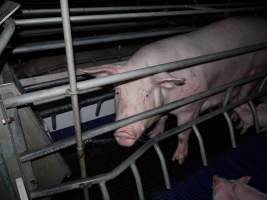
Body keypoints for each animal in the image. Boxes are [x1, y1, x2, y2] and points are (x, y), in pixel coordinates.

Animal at [81, 16, 267, 163]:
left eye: (146, 94)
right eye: (118, 92)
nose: (124, 132)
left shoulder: (191, 107)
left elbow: (182, 134)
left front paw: (178, 160)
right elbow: (162, 119)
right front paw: (153, 135)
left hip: (256, 70)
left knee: (245, 93)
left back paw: (238, 124)